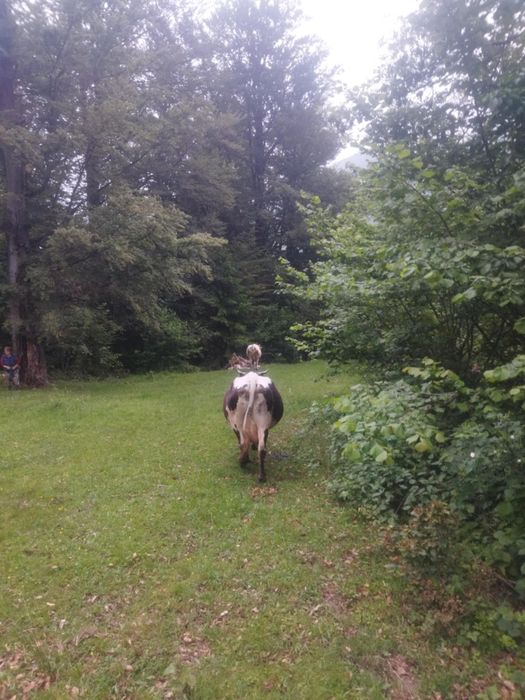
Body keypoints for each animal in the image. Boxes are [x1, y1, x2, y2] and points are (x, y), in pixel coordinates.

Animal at [223, 344, 283, 482]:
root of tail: (252, 379)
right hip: (263, 422)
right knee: (262, 448)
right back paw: (261, 476)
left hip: (238, 423)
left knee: (243, 443)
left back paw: (243, 462)